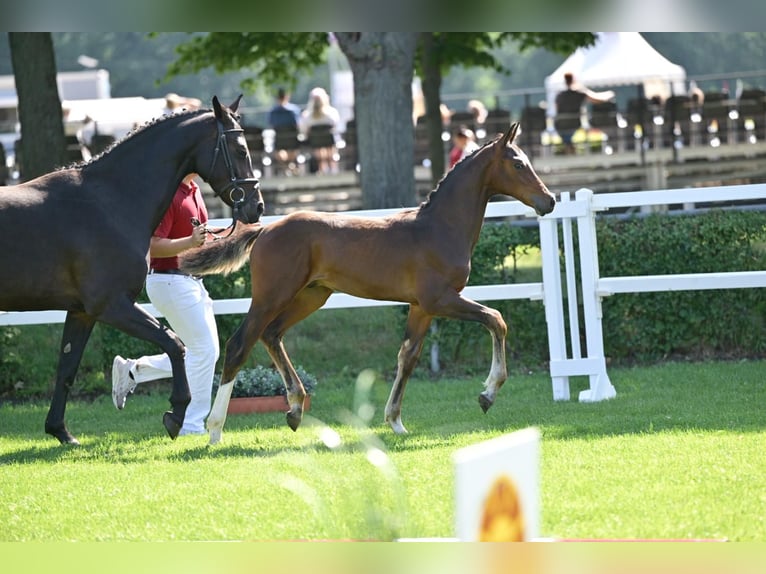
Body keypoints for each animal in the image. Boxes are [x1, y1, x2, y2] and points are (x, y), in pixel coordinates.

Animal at [0, 95, 264, 445]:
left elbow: (67, 368)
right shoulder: (112, 306)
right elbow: (174, 344)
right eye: (240, 150)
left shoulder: (82, 312)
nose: (257, 206)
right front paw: (176, 414)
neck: (110, 202)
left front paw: (60, 431)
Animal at [180, 123, 555, 445]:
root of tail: (265, 229)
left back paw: (296, 408)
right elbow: (496, 319)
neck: (438, 228)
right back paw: (215, 429)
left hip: (311, 297)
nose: (549, 201)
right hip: (271, 296)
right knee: (239, 344)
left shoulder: (421, 308)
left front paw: (396, 422)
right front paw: (487, 393)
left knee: (272, 335)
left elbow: (408, 356)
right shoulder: (440, 300)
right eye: (518, 164)